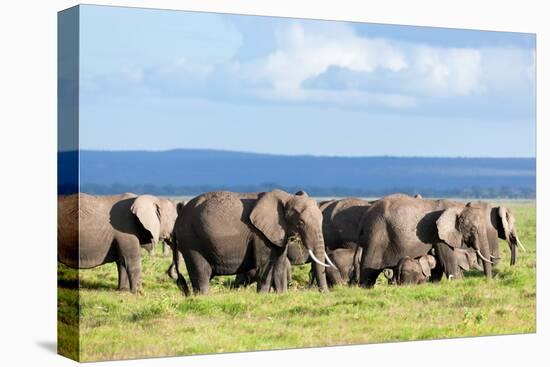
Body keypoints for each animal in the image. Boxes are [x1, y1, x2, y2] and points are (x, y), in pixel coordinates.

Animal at [171, 190, 332, 296]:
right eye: (300, 223)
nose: (324, 293)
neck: (286, 197)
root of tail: (179, 216)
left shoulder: (277, 233)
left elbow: (279, 265)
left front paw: (281, 295)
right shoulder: (259, 234)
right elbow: (265, 265)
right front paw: (262, 296)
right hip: (191, 239)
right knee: (201, 271)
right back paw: (203, 297)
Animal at [358, 193, 528, 288]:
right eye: (472, 229)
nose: (489, 281)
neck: (458, 207)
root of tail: (366, 214)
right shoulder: (439, 233)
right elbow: (447, 257)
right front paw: (458, 283)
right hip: (377, 234)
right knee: (368, 269)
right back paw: (364, 288)